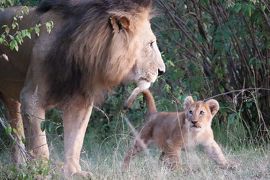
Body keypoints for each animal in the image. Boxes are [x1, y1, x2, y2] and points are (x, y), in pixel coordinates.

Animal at [0, 0, 165, 177]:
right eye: (150, 44)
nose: (162, 71)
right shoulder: (31, 97)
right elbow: (39, 143)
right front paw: (41, 171)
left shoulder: (80, 100)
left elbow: (75, 139)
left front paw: (74, 172)